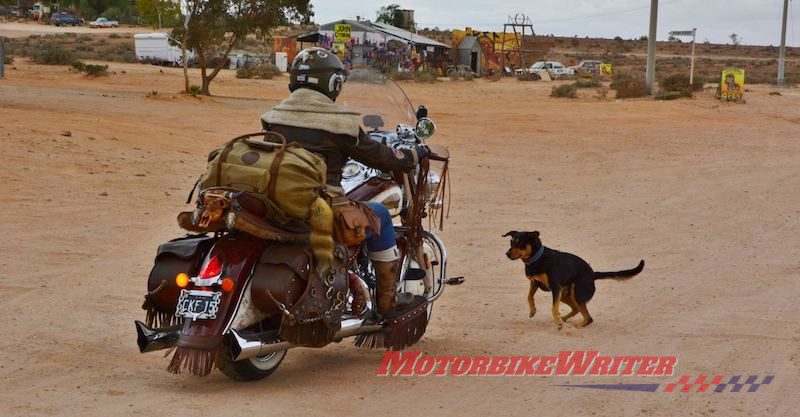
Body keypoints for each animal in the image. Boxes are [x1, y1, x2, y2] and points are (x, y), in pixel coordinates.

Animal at [506, 231, 644, 328]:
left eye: (520, 243)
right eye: (511, 243)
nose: (507, 254)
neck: (537, 259)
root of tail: (592, 274)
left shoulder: (555, 287)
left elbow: (553, 308)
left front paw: (559, 324)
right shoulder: (536, 283)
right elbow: (529, 296)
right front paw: (533, 311)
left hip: (574, 293)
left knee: (588, 318)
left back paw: (573, 324)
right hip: (565, 294)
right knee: (577, 309)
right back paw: (563, 319)